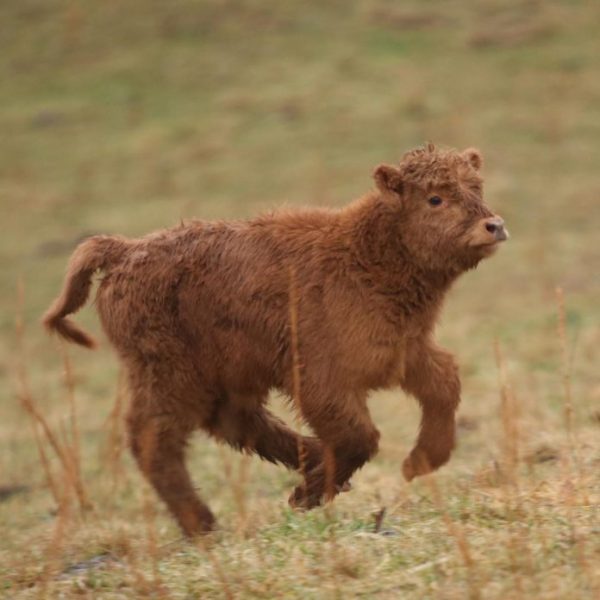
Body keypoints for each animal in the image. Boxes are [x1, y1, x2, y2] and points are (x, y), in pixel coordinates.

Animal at [44, 144, 508, 536]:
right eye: (435, 198)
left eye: (477, 186)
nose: (494, 226)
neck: (362, 255)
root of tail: (124, 250)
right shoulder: (320, 379)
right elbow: (361, 435)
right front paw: (306, 496)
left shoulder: (403, 352)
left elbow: (444, 384)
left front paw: (419, 462)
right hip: (169, 376)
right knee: (156, 441)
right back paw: (204, 524)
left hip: (224, 376)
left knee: (235, 423)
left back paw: (308, 463)